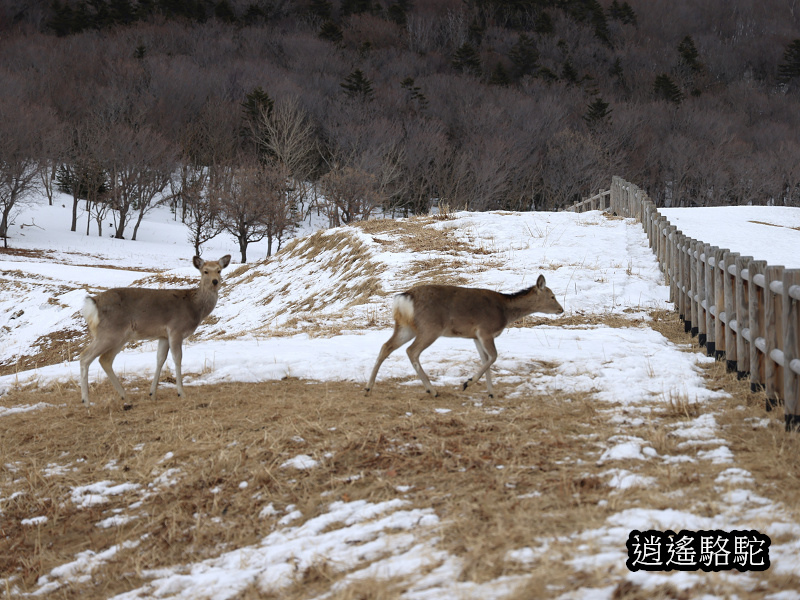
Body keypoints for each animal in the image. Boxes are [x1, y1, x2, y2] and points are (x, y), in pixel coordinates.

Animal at [79, 253, 231, 404]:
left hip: (119, 336)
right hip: (109, 332)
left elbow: (160, 359)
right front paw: (181, 393)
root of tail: (93, 303)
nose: (215, 281)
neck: (195, 308)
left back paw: (125, 396)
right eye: (205, 271)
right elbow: (177, 358)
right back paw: (86, 400)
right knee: (85, 356)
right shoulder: (176, 329)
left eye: (219, 270)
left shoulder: (163, 335)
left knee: (105, 359)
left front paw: (152, 393)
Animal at [368, 276, 564, 398]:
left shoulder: (475, 336)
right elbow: (494, 357)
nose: (561, 309)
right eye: (552, 296)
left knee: (386, 346)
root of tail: (404, 299)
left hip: (405, 327)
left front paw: (491, 393)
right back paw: (432, 390)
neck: (505, 312)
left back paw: (368, 386)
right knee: (412, 351)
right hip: (430, 327)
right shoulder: (485, 330)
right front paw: (467, 383)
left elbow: (486, 360)